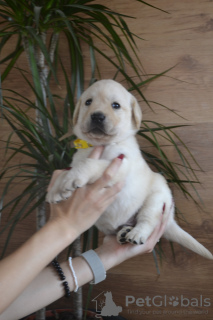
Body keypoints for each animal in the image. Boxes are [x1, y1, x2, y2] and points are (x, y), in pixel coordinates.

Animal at [46, 79, 213, 260]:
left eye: (116, 105)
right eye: (88, 102)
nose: (97, 116)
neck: (101, 144)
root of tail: (170, 220)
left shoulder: (121, 164)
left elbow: (89, 164)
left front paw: (71, 178)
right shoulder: (79, 158)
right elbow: (68, 169)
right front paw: (55, 190)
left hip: (157, 199)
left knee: (147, 221)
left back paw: (136, 234)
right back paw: (124, 232)